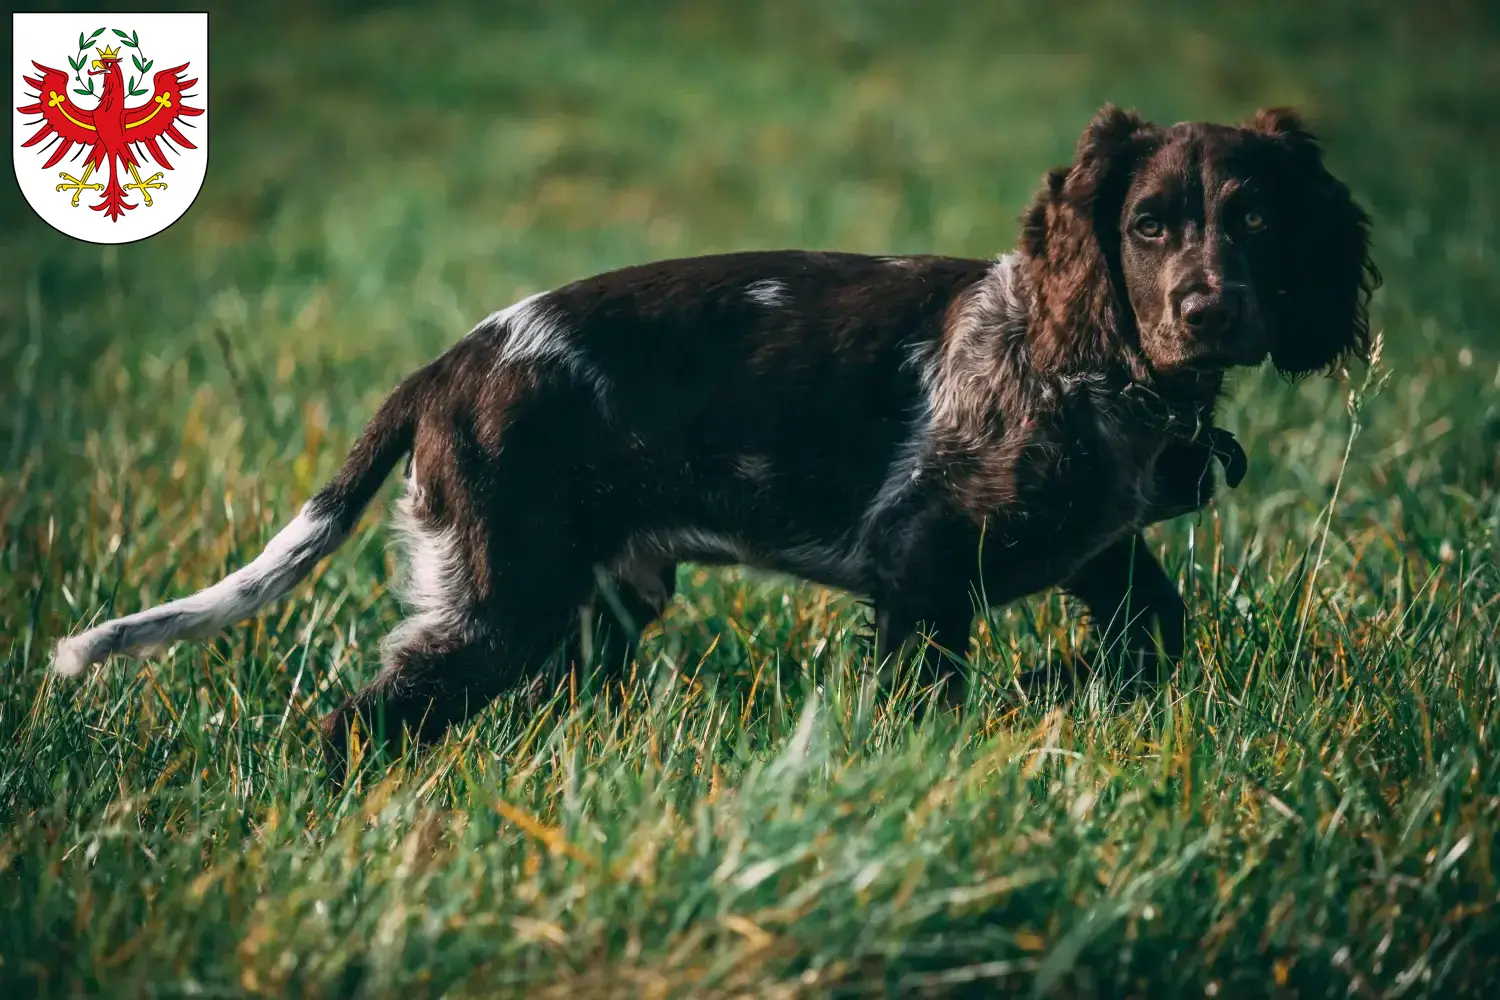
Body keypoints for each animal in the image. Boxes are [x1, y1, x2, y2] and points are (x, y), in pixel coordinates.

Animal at [52, 103, 1374, 773]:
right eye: (1148, 224)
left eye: (1259, 222)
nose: (1210, 309)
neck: (1099, 370)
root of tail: (451, 362)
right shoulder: (920, 558)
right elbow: (934, 688)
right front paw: (1002, 712)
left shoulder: (1098, 549)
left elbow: (1155, 634)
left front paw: (1061, 686)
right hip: (503, 598)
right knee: (361, 718)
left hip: (588, 612)